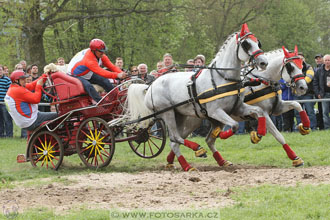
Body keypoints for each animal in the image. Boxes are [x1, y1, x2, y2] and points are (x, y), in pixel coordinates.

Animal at [126, 23, 268, 172]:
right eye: (246, 44)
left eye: (257, 42)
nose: (264, 62)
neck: (222, 77)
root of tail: (150, 86)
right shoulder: (215, 111)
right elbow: (234, 125)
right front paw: (220, 134)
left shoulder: (237, 108)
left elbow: (259, 111)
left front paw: (257, 135)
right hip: (167, 113)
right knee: (175, 137)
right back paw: (196, 152)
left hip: (180, 115)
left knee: (175, 142)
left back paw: (197, 163)